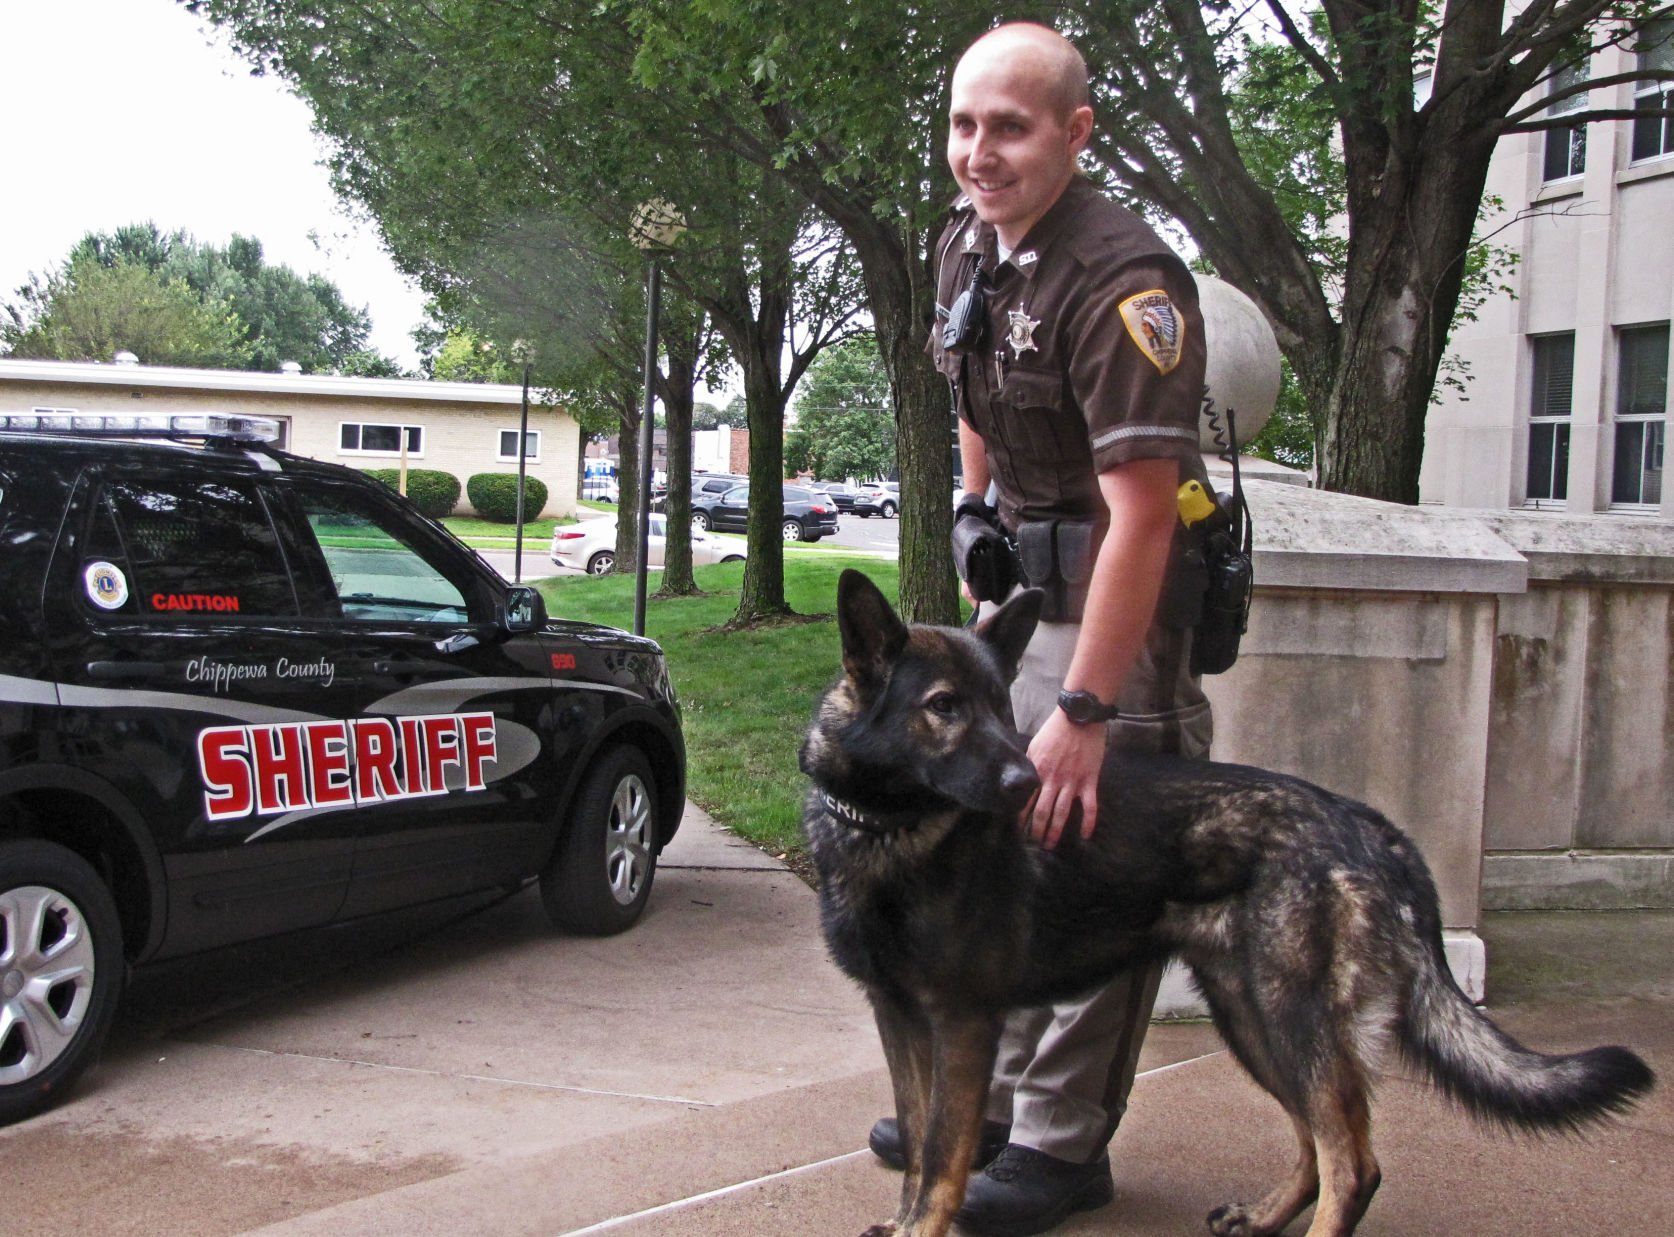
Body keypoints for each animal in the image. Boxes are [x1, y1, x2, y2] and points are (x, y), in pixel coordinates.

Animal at [803, 575, 1653, 1237]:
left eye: (1000, 708)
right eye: (945, 706)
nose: (1028, 785)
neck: (886, 827)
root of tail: (1364, 822)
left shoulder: (963, 1023)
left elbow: (943, 1159)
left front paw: (921, 1225)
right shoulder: (901, 1019)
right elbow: (918, 1146)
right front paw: (901, 1215)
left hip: (1289, 1018)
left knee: (1354, 1162)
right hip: (1251, 1018)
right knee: (1319, 1145)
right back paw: (1266, 1213)